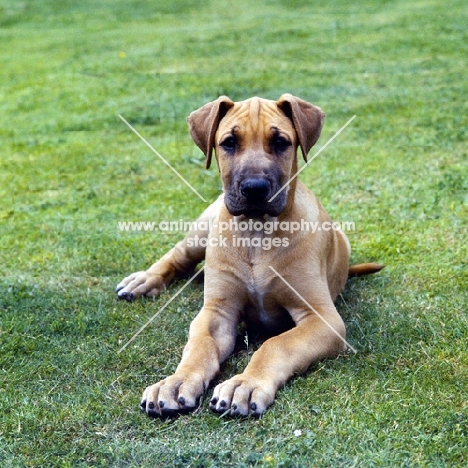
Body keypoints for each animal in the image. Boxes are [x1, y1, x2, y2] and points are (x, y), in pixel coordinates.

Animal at [116, 94, 380, 416]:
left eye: (280, 142)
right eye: (229, 142)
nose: (254, 189)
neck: (257, 233)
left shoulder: (322, 318)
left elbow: (276, 344)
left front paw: (246, 384)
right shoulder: (217, 311)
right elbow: (199, 347)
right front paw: (176, 381)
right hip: (203, 227)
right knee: (179, 254)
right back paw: (144, 280)